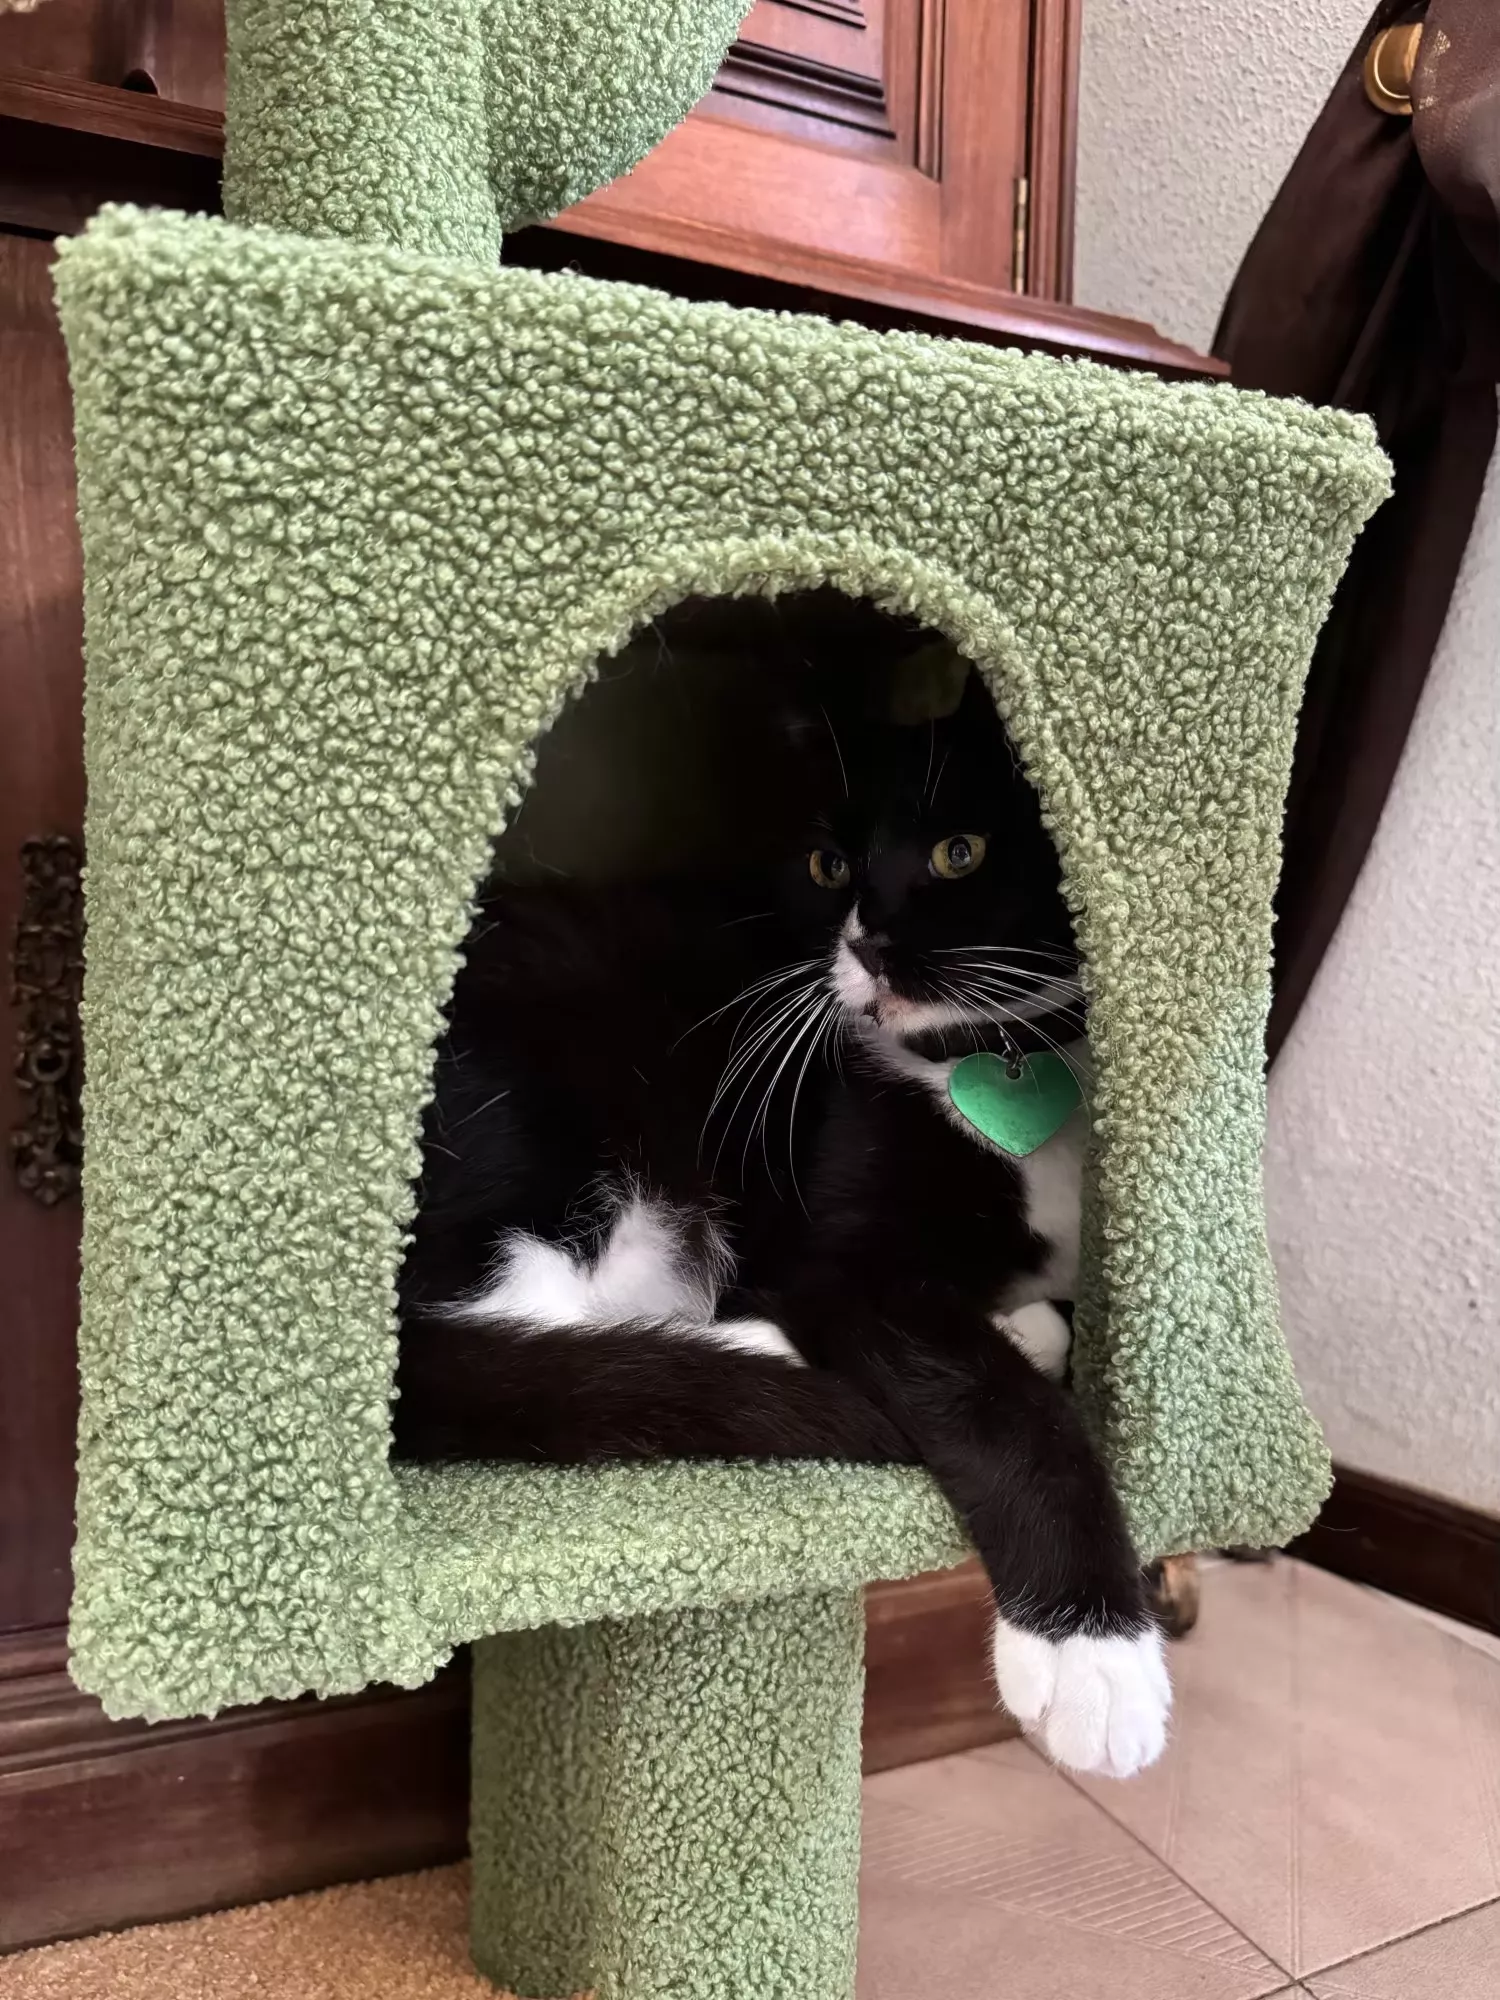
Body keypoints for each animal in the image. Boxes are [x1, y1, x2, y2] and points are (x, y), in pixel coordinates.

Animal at [394, 657, 1171, 1778]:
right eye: (828, 862)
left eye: (960, 851)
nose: (867, 944)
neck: (991, 1063)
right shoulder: (840, 1247)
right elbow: (993, 1398)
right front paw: (1094, 1652)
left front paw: (1027, 1324)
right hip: (554, 1124)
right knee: (481, 1347)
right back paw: (748, 1349)